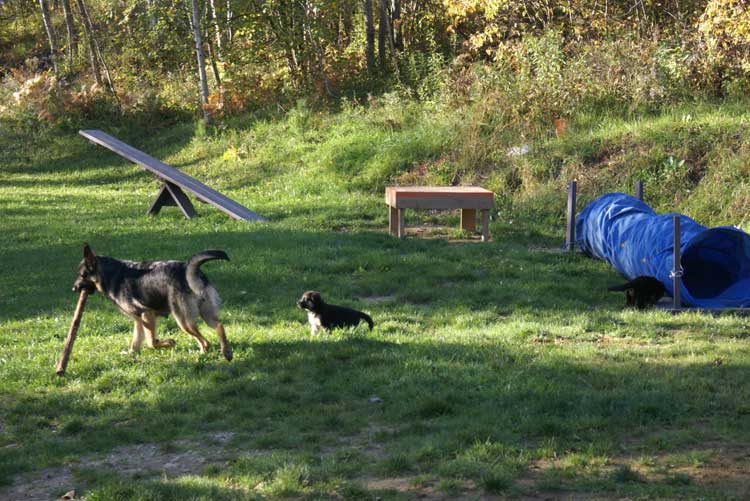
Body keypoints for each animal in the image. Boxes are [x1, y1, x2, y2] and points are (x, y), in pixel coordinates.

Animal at [74, 243, 234, 358]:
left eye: (82, 275)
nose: (73, 288)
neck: (110, 274)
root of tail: (189, 269)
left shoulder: (147, 314)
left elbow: (151, 342)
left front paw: (168, 343)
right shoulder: (138, 320)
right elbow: (136, 341)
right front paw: (131, 354)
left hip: (183, 321)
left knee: (205, 341)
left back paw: (205, 353)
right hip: (205, 315)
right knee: (219, 326)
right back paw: (226, 351)